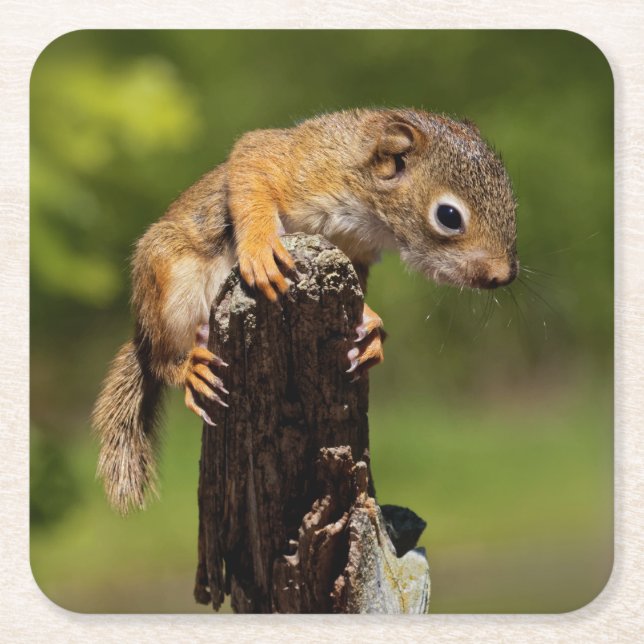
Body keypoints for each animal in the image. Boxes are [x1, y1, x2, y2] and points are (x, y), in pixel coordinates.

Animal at [92, 108, 518, 514]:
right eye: (449, 216)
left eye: (512, 202)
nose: (504, 276)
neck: (370, 209)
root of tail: (142, 331)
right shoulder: (300, 162)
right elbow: (252, 164)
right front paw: (261, 248)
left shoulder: (354, 251)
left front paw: (371, 329)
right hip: (169, 284)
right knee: (161, 358)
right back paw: (188, 366)